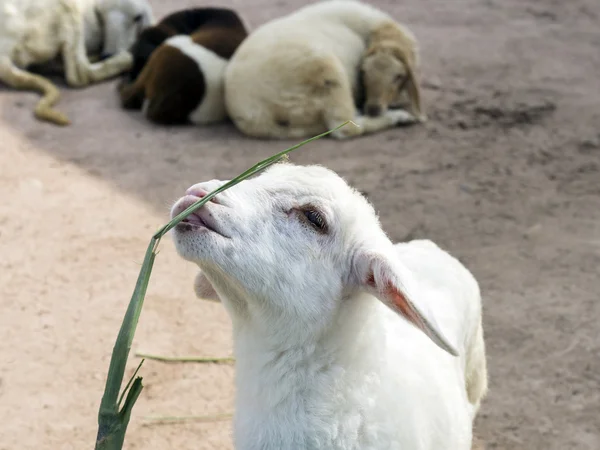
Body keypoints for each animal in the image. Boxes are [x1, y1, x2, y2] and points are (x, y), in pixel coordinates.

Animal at [0, 0, 152, 125]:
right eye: (100, 15)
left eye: (138, 18)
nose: (107, 54)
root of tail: (3, 57)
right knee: (79, 75)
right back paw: (122, 59)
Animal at [225, 0, 426, 140]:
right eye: (363, 72)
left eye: (398, 77)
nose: (373, 109)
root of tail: (257, 117)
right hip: (325, 70)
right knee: (345, 128)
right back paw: (399, 117)